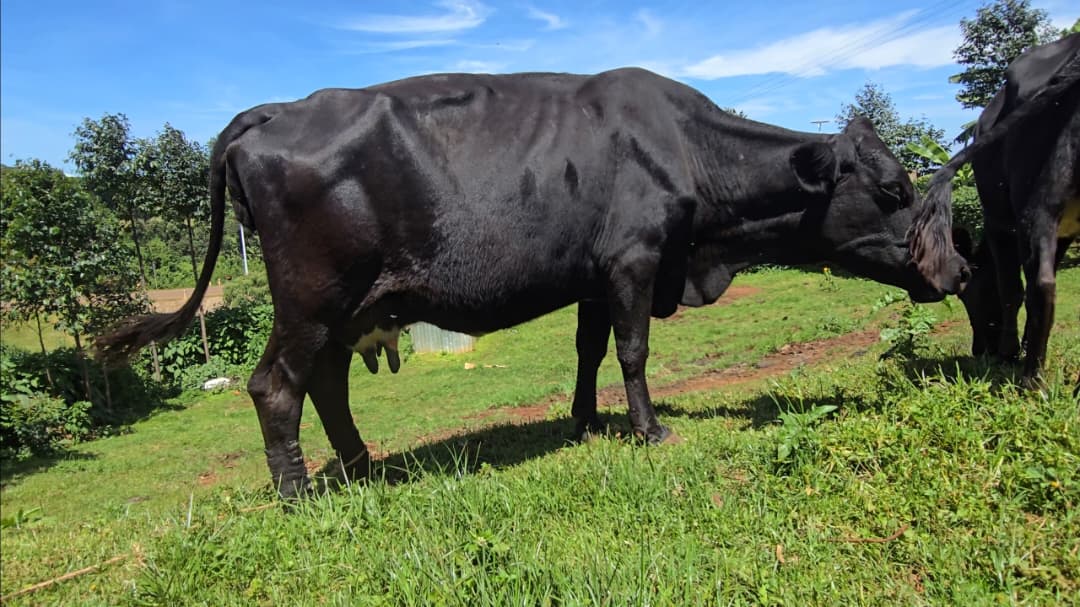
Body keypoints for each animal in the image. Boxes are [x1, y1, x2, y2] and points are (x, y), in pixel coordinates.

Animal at [99, 68, 971, 499]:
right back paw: (297, 491)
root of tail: (272, 111)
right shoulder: (634, 258)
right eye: (892, 189)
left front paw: (585, 421)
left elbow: (588, 350)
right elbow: (632, 350)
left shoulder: (593, 271)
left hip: (348, 305)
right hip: (312, 295)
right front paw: (649, 430)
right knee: (275, 383)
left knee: (326, 382)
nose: (960, 267)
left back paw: (362, 463)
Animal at [917, 34, 1079, 390]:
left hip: (1036, 201)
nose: (979, 349)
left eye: (968, 294)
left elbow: (1010, 289)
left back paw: (1032, 380)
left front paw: (1010, 352)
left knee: (1041, 285)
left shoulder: (997, 223)